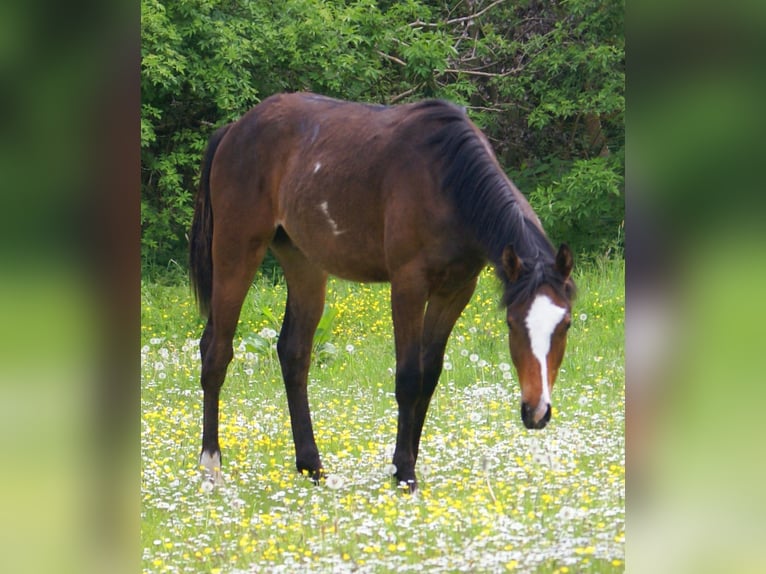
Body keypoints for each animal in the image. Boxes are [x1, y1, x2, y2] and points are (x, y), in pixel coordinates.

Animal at [189, 92, 576, 491]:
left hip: (304, 263)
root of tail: (235, 129)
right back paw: (211, 464)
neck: (446, 180)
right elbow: (408, 377)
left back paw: (312, 466)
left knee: (293, 354)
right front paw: (404, 472)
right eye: (513, 324)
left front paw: (407, 463)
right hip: (236, 250)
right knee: (216, 351)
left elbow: (429, 374)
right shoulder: (408, 285)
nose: (536, 411)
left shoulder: (455, 291)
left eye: (565, 325)